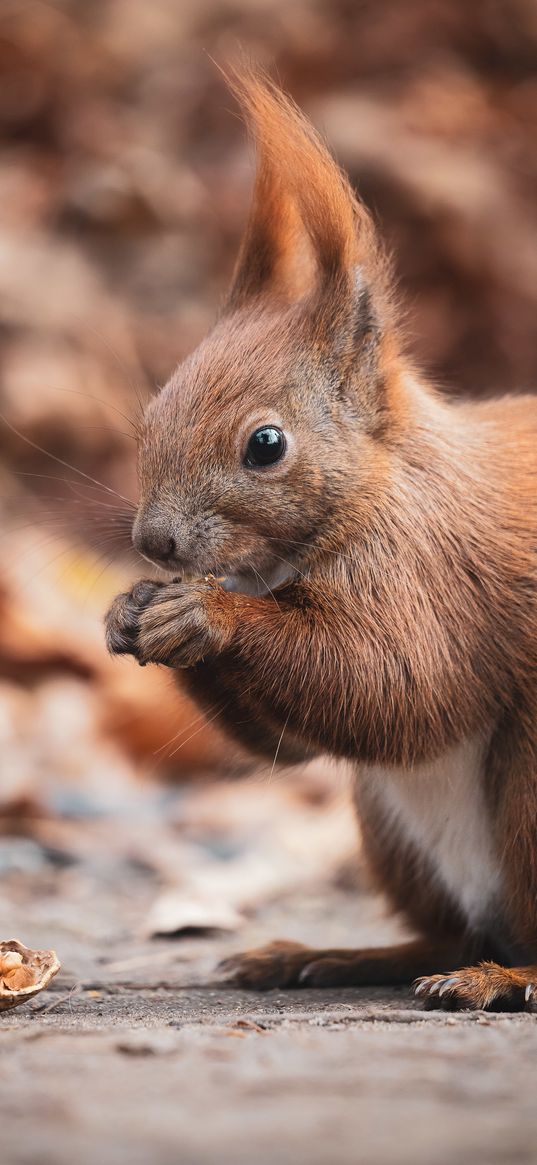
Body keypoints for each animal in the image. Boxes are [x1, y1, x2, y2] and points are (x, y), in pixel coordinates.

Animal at [105, 68, 535, 1011]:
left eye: (266, 445)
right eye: (151, 415)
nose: (155, 543)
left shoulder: (432, 567)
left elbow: (402, 682)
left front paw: (206, 617)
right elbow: (296, 740)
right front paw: (128, 610)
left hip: (530, 784)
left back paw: (499, 976)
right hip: (390, 830)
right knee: (441, 930)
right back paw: (328, 956)